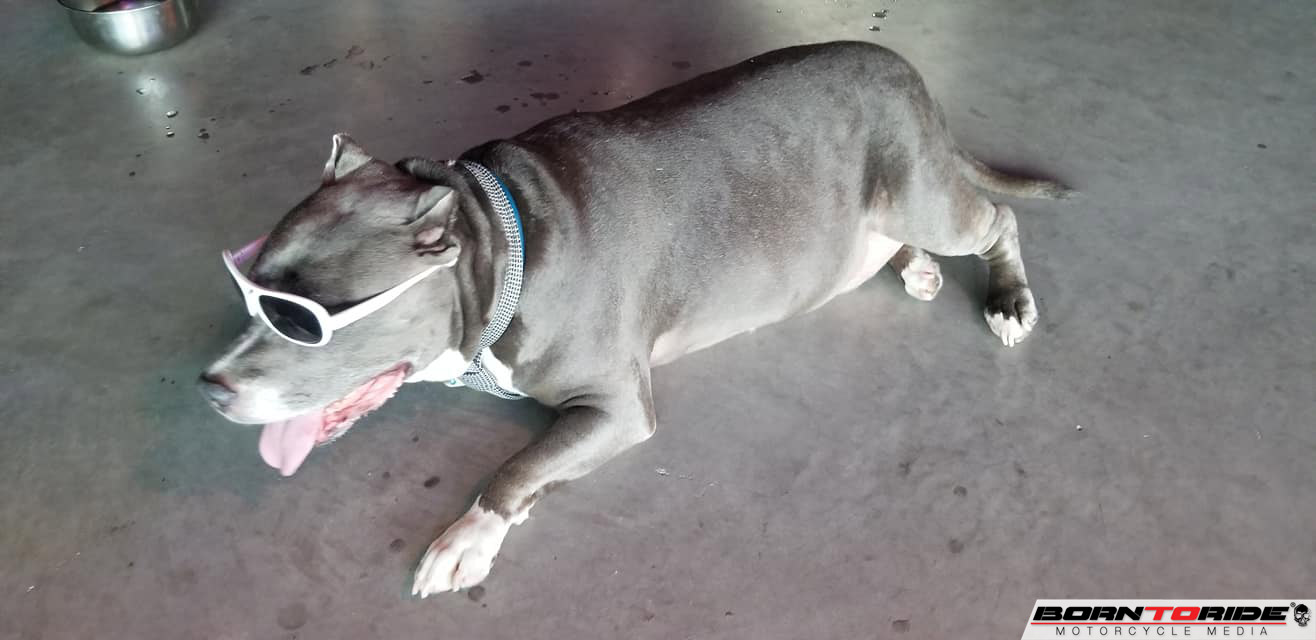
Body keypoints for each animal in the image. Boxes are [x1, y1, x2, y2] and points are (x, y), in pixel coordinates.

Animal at [198, 41, 1074, 597]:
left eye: (302, 317)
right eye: (251, 289)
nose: (210, 386)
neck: (499, 244)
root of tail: (908, 74)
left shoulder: (617, 408)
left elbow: (515, 468)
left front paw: (468, 535)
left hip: (919, 193)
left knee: (997, 221)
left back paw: (1007, 297)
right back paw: (912, 266)